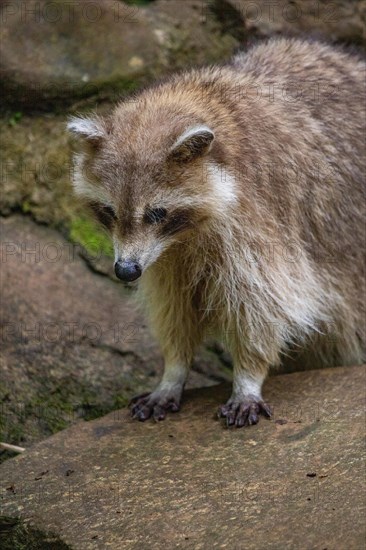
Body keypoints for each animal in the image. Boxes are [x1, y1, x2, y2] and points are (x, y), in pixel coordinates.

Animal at [67, 38, 364, 432]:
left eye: (157, 213)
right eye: (109, 212)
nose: (125, 271)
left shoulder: (260, 218)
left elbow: (264, 302)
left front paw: (248, 375)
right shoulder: (164, 257)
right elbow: (174, 305)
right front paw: (173, 370)